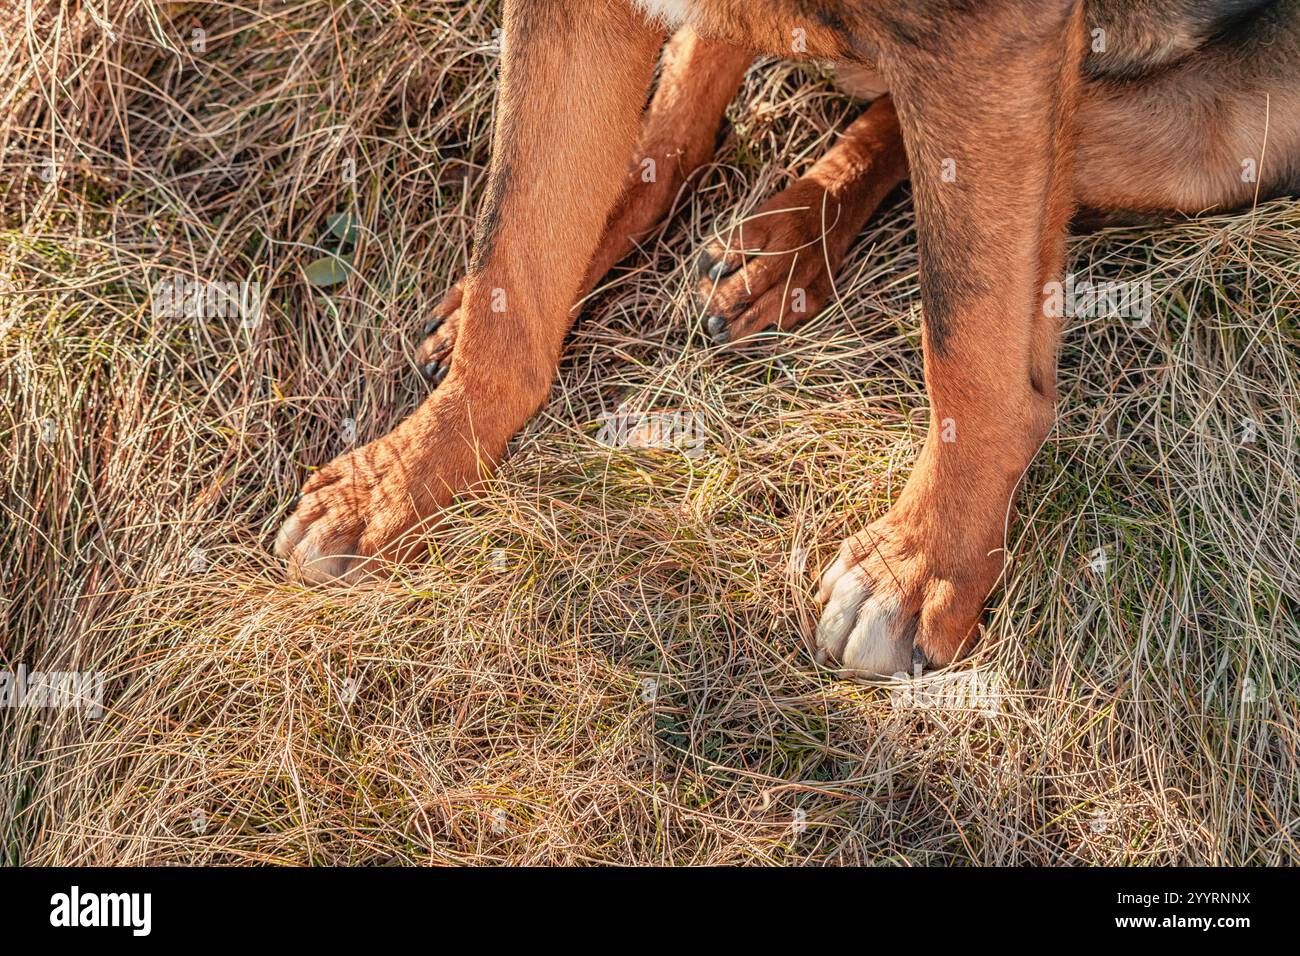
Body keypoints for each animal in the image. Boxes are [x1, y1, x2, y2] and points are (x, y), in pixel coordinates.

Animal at [271, 3, 1289, 681]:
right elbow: (515, 262)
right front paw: (404, 473)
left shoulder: (993, 42)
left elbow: (968, 340)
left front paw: (923, 561)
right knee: (688, 119)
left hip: (1223, 129)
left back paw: (796, 238)